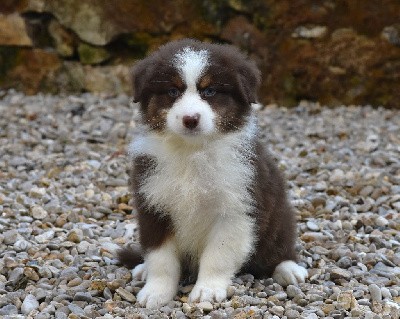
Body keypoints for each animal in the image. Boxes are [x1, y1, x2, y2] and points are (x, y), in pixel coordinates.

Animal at [117, 39, 308, 310]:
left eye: (209, 91)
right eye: (173, 91)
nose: (190, 119)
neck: (192, 153)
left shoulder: (235, 211)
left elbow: (217, 256)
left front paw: (207, 290)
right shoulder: (153, 206)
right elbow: (161, 258)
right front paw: (156, 291)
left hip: (278, 214)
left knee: (278, 246)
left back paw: (289, 269)